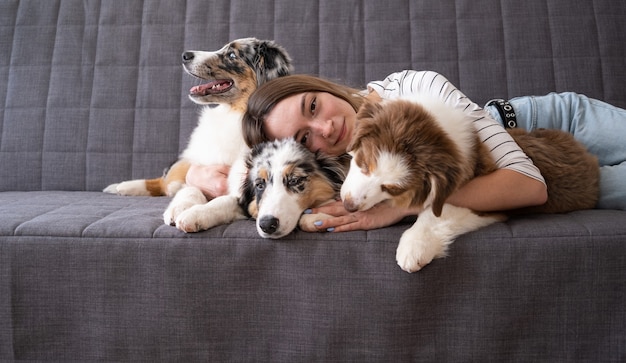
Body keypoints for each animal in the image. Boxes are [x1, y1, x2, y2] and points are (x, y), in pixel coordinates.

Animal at [338, 98, 596, 274]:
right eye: (363, 163)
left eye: (392, 189)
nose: (349, 206)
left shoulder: (487, 196)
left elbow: (437, 213)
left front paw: (413, 248)